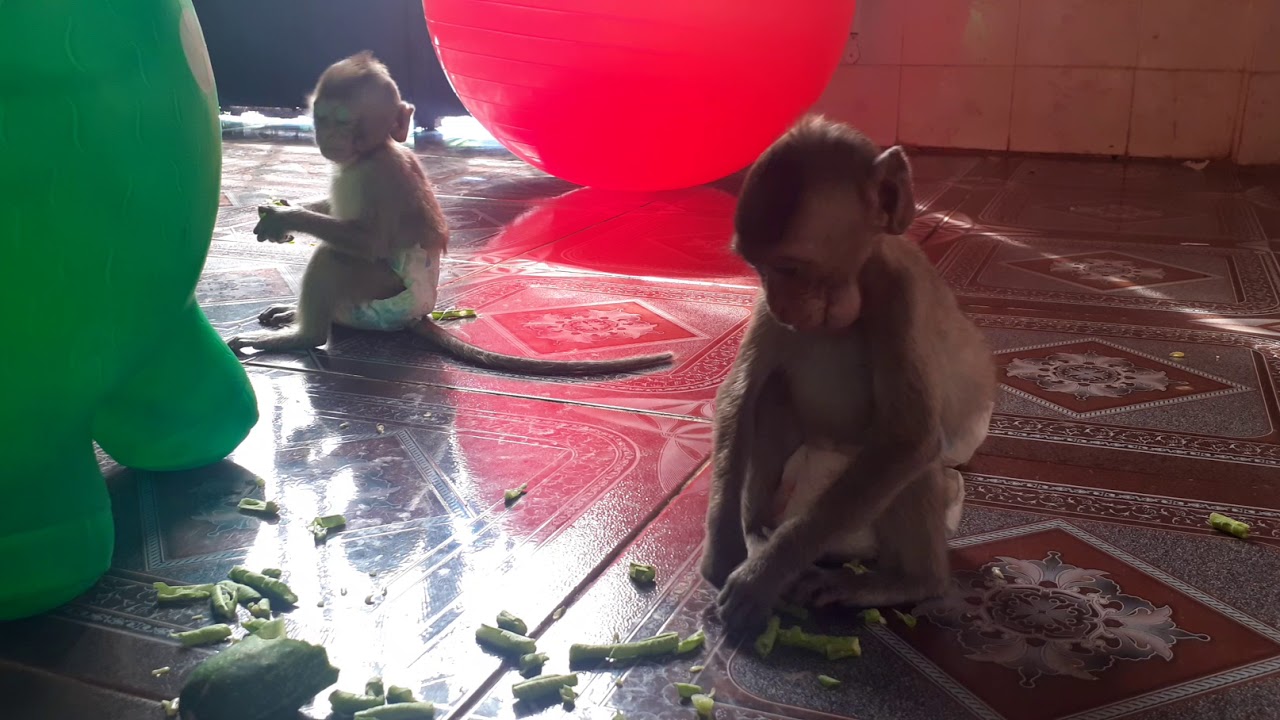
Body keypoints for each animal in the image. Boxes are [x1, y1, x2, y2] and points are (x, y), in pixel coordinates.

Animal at [227, 53, 673, 376]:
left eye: (345, 122)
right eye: (321, 119)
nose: (329, 139)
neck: (367, 154)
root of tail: (418, 314)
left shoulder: (378, 175)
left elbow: (369, 240)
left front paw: (284, 218)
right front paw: (286, 207)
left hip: (381, 296)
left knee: (334, 258)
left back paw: (303, 336)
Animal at [699, 115, 996, 635]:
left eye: (789, 267)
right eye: (759, 268)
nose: (780, 303)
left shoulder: (901, 296)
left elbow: (908, 439)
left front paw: (764, 574)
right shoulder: (766, 313)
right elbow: (740, 396)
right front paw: (725, 545)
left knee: (911, 462)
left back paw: (911, 581)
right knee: (772, 394)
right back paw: (755, 531)